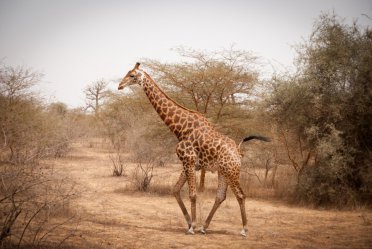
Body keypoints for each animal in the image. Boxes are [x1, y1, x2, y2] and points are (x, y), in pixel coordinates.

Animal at [119, 62, 270, 235]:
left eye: (132, 75)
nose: (120, 85)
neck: (180, 129)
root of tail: (239, 151)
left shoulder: (188, 160)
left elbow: (192, 194)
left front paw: (192, 227)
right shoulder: (190, 163)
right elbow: (175, 190)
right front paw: (190, 223)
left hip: (232, 171)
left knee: (240, 195)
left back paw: (244, 229)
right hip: (223, 171)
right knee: (220, 196)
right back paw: (205, 227)